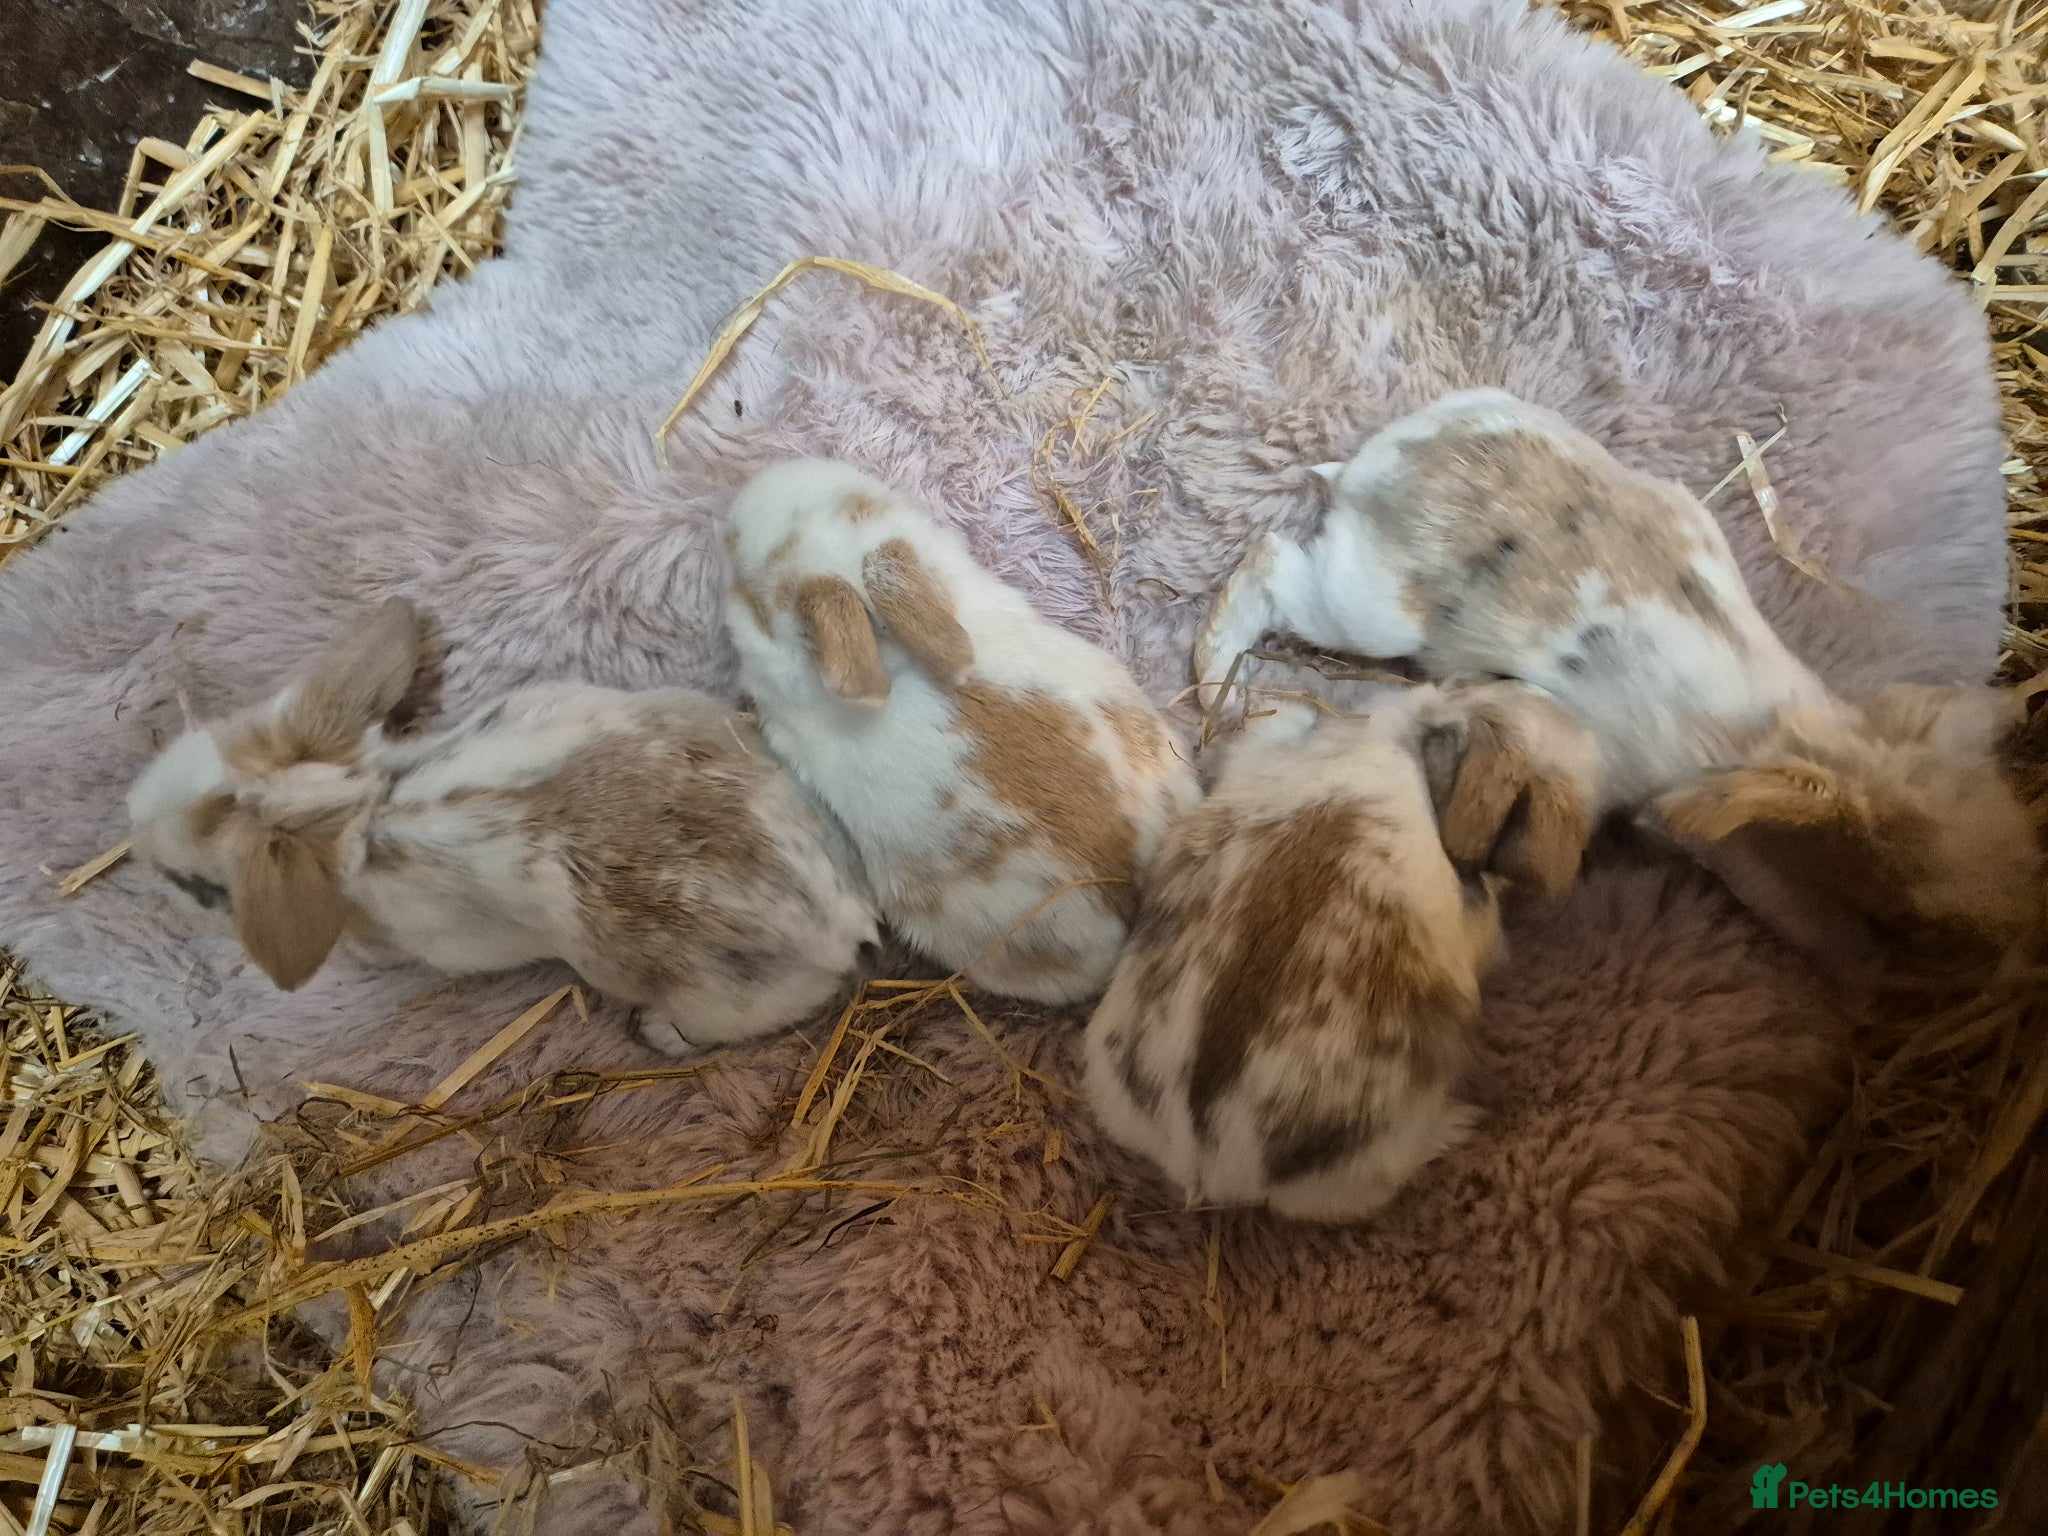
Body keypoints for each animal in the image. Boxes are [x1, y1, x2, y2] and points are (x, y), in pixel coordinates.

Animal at [125, 597, 881, 1054]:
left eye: (199, 886)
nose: (132, 824)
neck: (354, 806)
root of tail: (841, 913)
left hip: (719, 1000)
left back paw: (656, 1033)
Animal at [1191, 388, 2042, 988]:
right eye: (1911, 907)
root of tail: (1380, 464)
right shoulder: (1739, 861)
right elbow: (1801, 918)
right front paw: (1864, 973)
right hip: (1363, 611)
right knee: (1268, 565)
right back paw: (1212, 690)